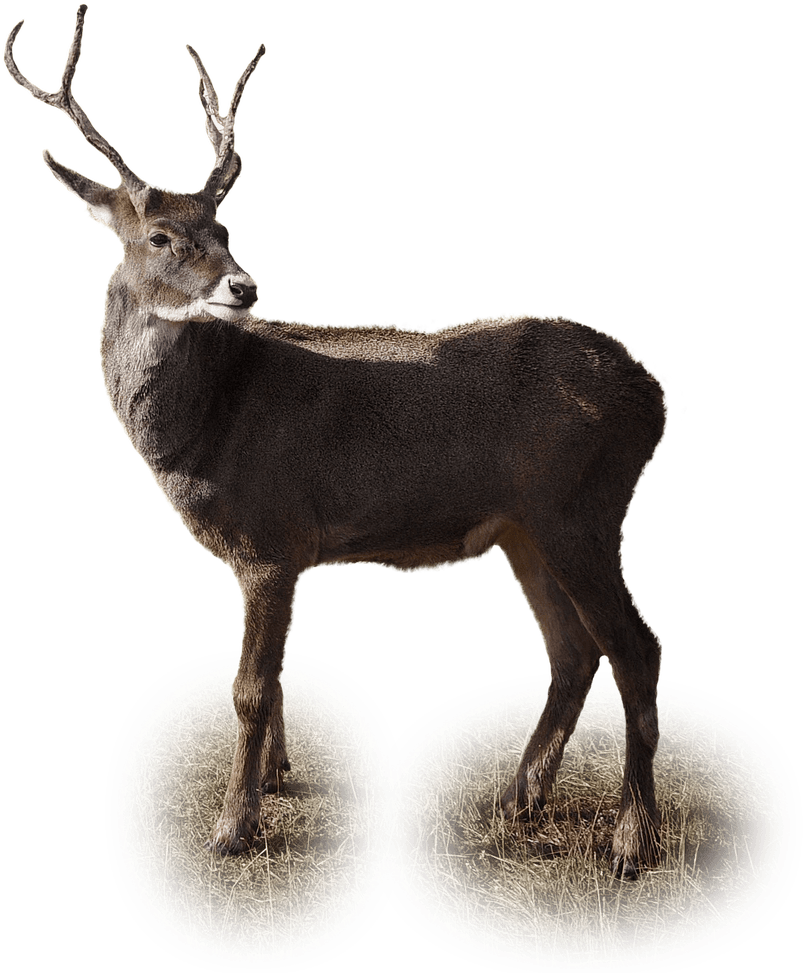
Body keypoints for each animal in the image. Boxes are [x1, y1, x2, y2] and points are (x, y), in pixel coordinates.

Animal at [5, 6, 667, 878]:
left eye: (225, 225)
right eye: (160, 237)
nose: (244, 286)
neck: (205, 428)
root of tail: (654, 391)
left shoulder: (271, 535)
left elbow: (250, 689)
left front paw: (231, 829)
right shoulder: (278, 554)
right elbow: (278, 676)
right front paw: (275, 781)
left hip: (581, 504)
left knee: (633, 649)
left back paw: (632, 840)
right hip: (525, 527)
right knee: (571, 653)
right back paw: (515, 800)